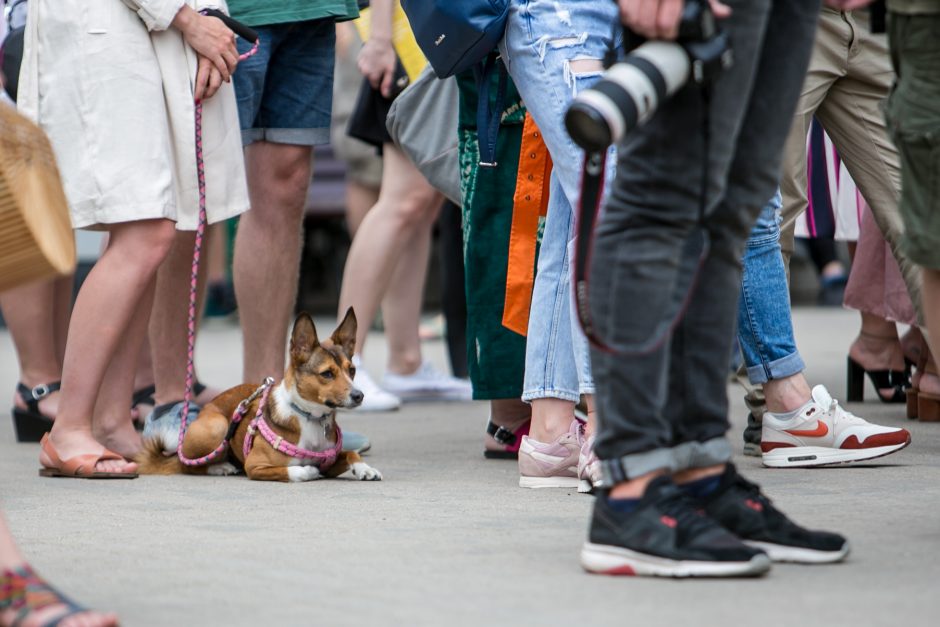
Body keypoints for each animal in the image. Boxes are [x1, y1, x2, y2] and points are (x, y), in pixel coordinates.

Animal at [136, 312, 378, 484]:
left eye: (352, 370)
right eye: (327, 374)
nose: (359, 395)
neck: (310, 417)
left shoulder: (329, 462)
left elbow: (350, 454)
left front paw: (365, 468)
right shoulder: (256, 465)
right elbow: (297, 471)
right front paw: (308, 470)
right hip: (217, 427)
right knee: (188, 465)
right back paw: (220, 467)